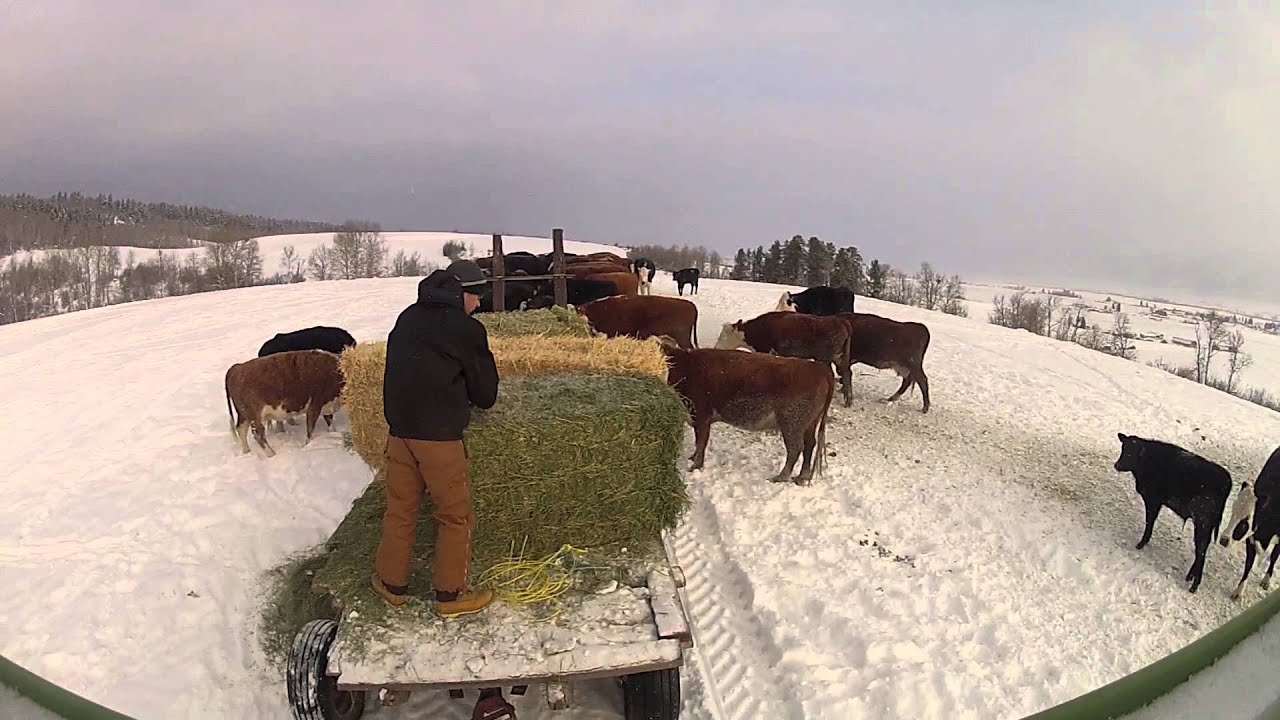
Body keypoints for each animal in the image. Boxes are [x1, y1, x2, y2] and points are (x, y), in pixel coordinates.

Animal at [657, 339, 834, 486]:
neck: (688, 368)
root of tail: (818, 368)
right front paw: (692, 458)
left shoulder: (702, 416)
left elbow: (701, 442)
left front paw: (695, 466)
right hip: (810, 423)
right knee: (810, 445)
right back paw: (801, 477)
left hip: (791, 423)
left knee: (796, 448)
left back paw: (780, 477)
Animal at [714, 311, 853, 407]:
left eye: (724, 336)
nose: (716, 348)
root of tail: (840, 321)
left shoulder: (765, 351)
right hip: (838, 357)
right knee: (847, 373)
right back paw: (848, 400)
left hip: (825, 358)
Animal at [1113, 433, 1233, 593]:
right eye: (1123, 449)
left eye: (1131, 453)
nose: (1117, 465)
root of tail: (1226, 480)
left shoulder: (1153, 500)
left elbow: (1149, 521)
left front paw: (1141, 543)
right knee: (1202, 549)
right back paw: (1190, 576)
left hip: (1203, 522)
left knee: (1201, 550)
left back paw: (1194, 585)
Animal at [1220, 445, 1280, 599]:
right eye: (1232, 511)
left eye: (1246, 519)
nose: (1223, 540)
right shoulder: (1251, 538)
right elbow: (1248, 564)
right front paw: (1238, 592)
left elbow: (1274, 556)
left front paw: (1266, 581)